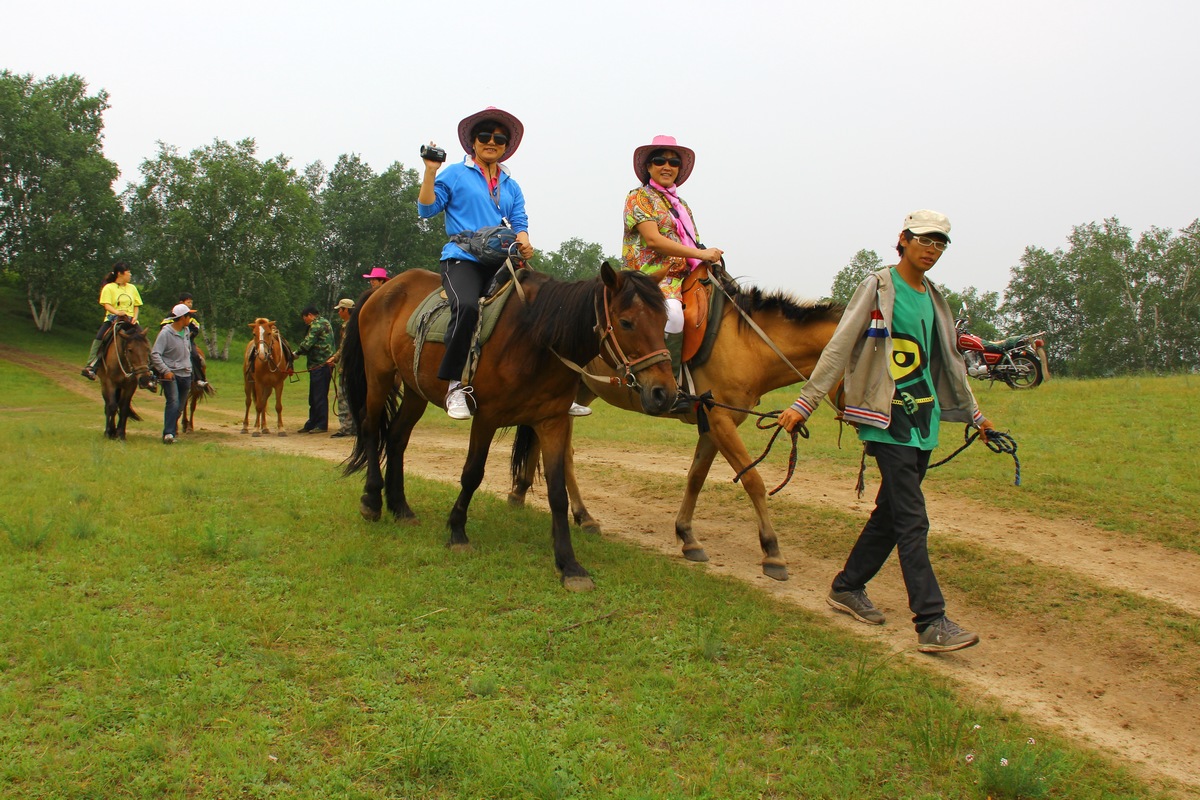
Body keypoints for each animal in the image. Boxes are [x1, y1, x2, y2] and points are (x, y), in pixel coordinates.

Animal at [343, 262, 681, 587]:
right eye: (626, 322)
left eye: (662, 322)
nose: (664, 393)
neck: (536, 339)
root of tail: (384, 289)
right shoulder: (486, 418)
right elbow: (472, 475)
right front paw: (457, 532)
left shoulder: (552, 421)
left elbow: (557, 492)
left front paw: (569, 565)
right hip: (379, 376)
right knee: (371, 428)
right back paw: (372, 500)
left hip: (415, 391)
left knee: (397, 438)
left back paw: (400, 508)